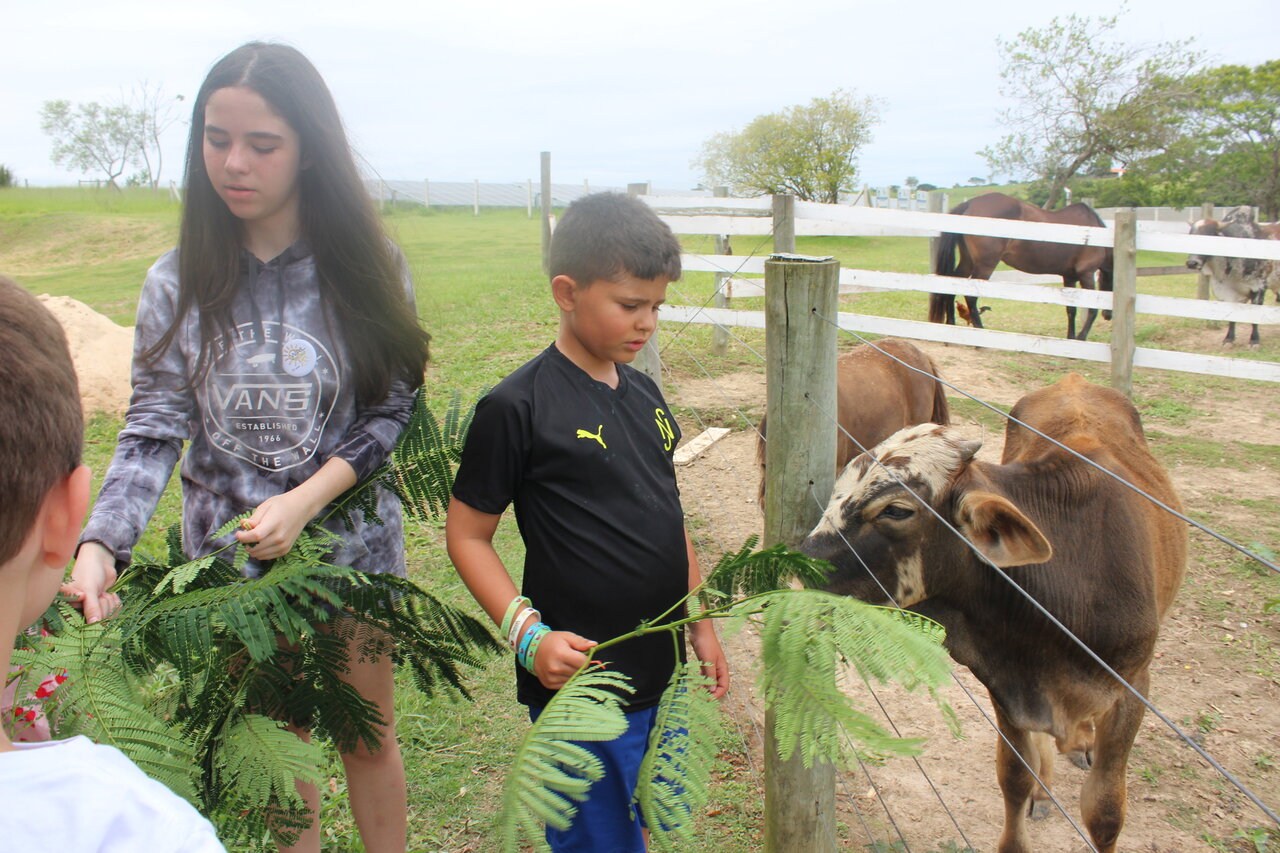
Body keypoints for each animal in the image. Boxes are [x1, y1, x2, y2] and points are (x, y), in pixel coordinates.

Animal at [800, 373, 1187, 853]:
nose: (800, 563)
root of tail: (1073, 379)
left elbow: (1105, 809)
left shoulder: (1132, 691)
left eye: (896, 509)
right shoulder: (1006, 687)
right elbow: (1015, 777)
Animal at [930, 192, 1114, 341]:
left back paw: (950, 324)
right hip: (985, 265)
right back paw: (980, 329)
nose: (1108, 315)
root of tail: (970, 204)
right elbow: (1092, 309)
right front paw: (1081, 338)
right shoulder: (1086, 274)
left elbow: (1071, 309)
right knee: (971, 296)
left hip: (968, 262)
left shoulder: (1069, 277)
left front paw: (1071, 338)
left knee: (951, 285)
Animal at [1185, 206, 1280, 346]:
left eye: (1209, 236)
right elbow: (1231, 317)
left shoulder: (1259, 288)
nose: (1192, 263)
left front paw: (1254, 340)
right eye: (1190, 237)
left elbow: (1255, 317)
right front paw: (1229, 339)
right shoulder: (1228, 292)